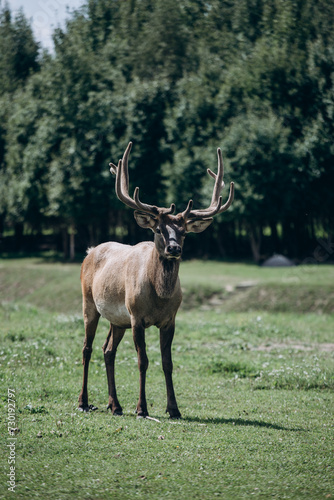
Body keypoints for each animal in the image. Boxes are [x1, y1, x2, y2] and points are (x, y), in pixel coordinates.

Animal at [79, 141, 235, 418]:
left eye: (184, 232)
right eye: (159, 230)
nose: (174, 248)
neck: (159, 298)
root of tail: (89, 251)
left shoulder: (170, 320)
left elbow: (167, 362)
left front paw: (173, 408)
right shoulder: (136, 316)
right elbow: (143, 361)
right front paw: (142, 408)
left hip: (117, 319)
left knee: (108, 350)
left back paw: (115, 405)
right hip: (90, 303)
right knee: (87, 348)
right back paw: (84, 402)